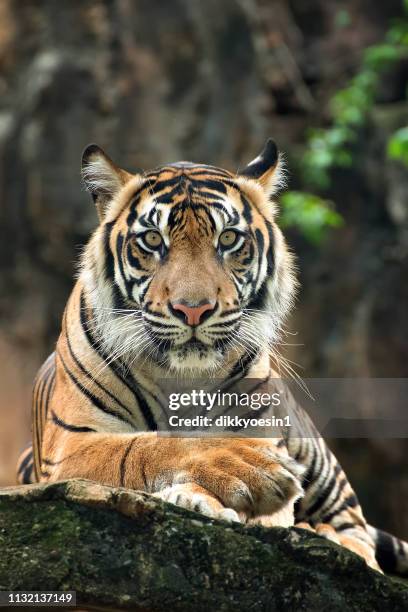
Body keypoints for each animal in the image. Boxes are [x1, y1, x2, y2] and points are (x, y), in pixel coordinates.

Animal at [16, 139, 408, 572]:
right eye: (153, 240)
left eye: (229, 239)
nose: (193, 310)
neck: (180, 379)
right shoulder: (72, 443)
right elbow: (147, 446)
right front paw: (231, 475)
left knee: (358, 535)